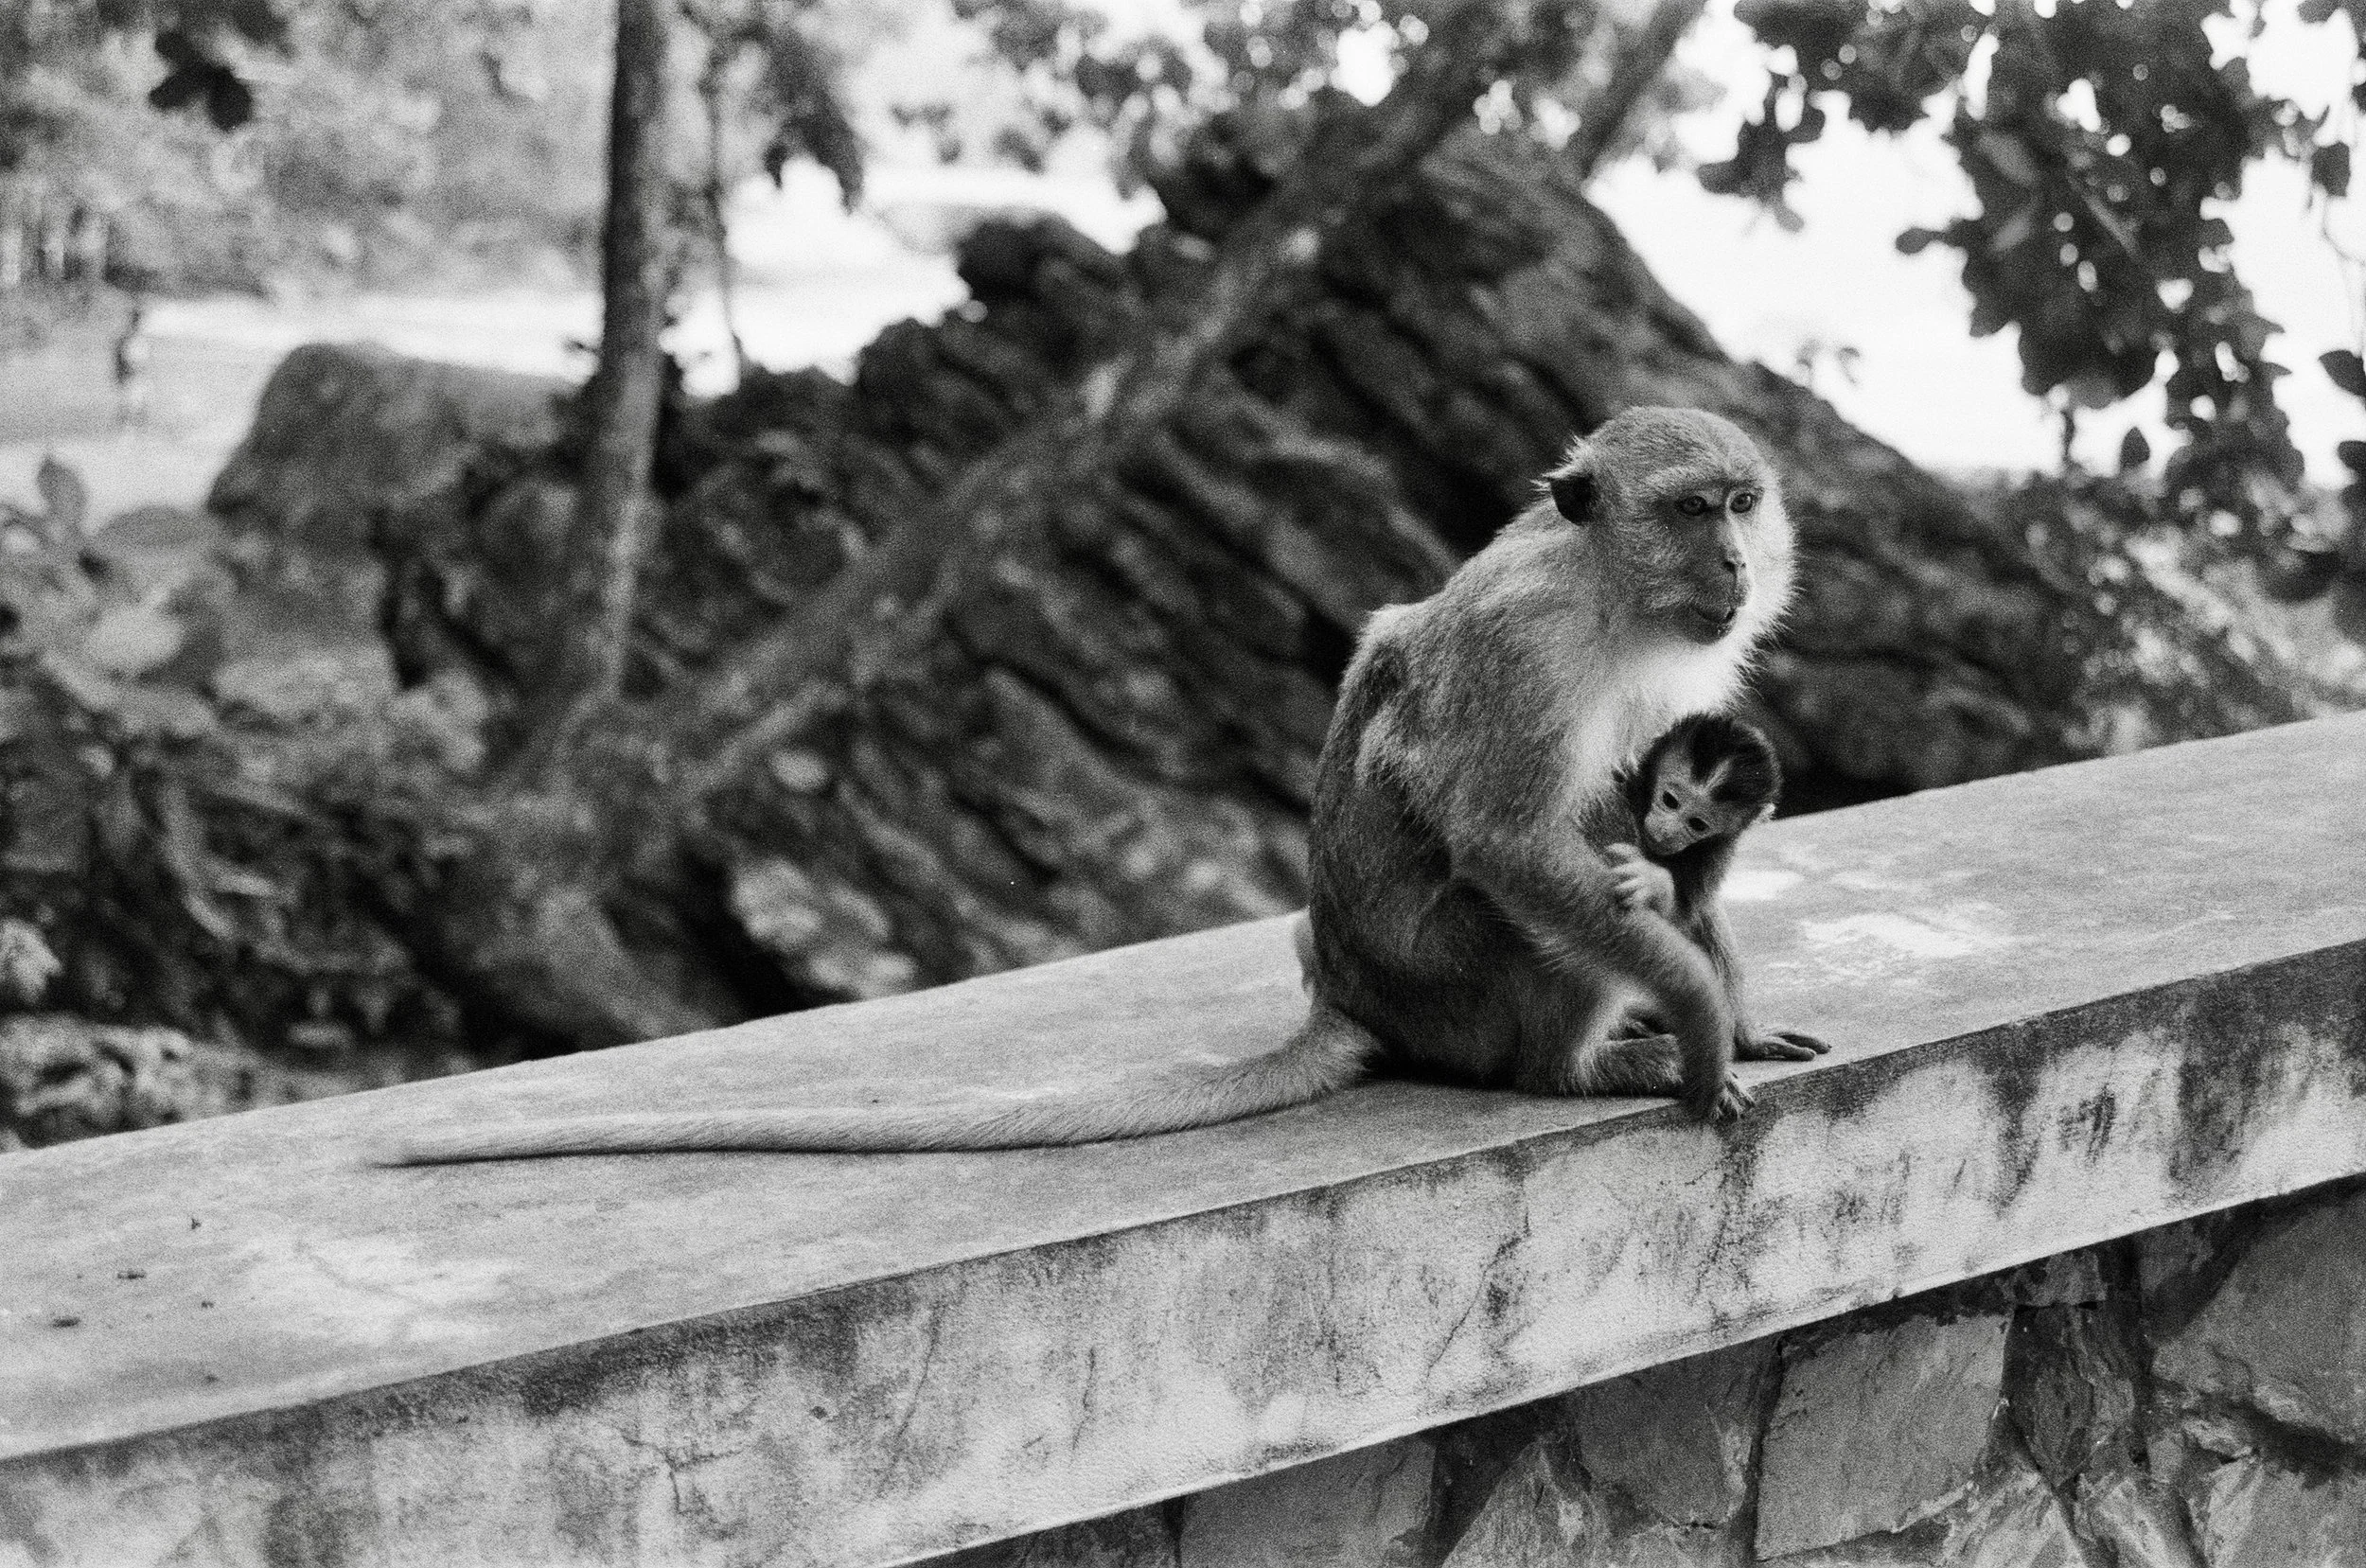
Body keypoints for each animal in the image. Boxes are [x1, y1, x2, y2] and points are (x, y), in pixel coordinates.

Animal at [385, 407, 1812, 1164]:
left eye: (1745, 502)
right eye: (1692, 510)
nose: (1740, 561)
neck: (1610, 598)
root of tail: (1354, 993)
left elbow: (1674, 832)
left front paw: (1729, 1003)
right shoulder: (1530, 651)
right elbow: (1510, 840)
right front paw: (1698, 1018)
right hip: (1470, 981)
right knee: (1541, 907)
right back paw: (1573, 1068)